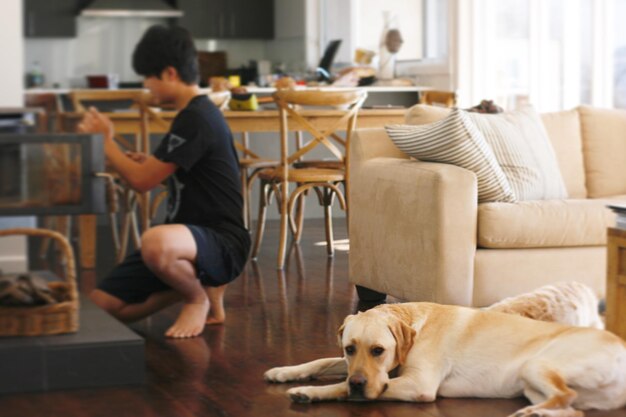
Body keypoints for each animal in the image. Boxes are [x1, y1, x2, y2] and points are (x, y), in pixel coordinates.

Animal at [266, 302, 624, 416]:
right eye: (349, 348)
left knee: (567, 395)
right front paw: (285, 371)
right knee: (573, 408)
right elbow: (322, 362)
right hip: (531, 385)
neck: (413, 323)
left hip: (534, 366)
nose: (358, 382)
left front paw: (309, 392)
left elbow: (342, 386)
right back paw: (534, 413)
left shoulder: (418, 385)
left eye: (379, 350)